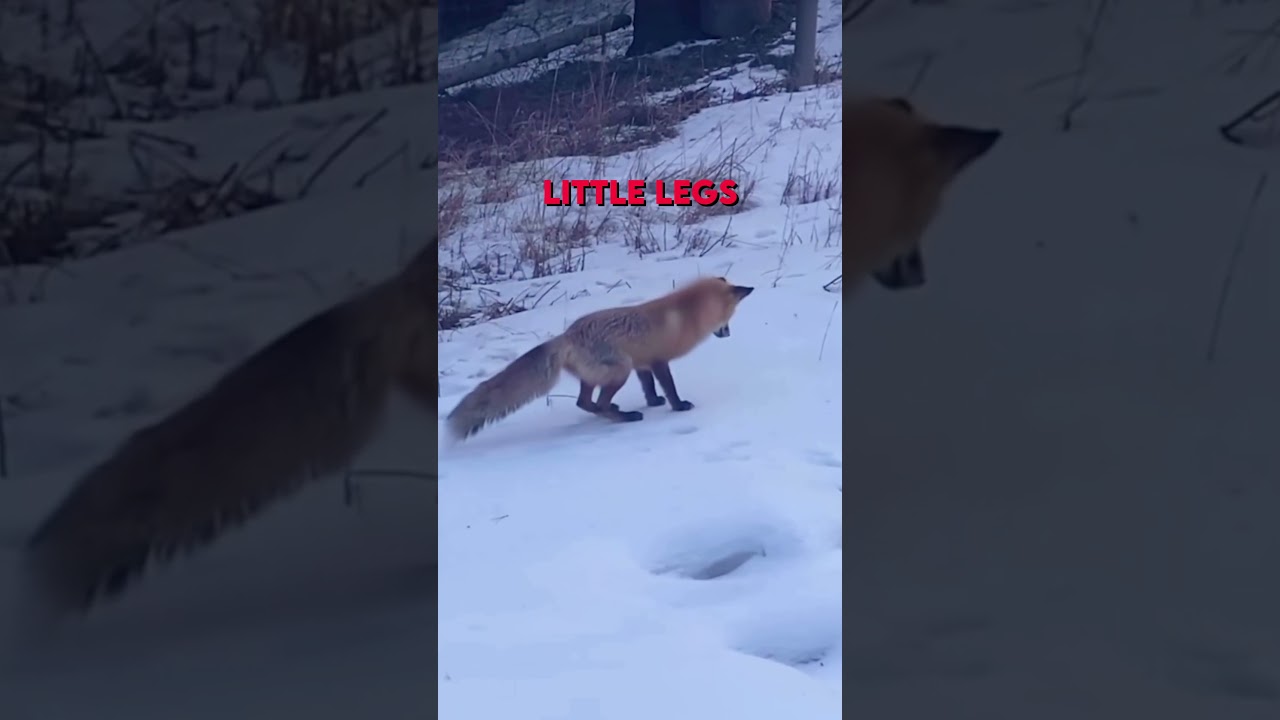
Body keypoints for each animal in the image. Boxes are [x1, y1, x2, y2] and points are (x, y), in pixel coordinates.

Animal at [445, 276, 754, 441]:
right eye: (729, 318)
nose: (727, 334)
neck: (686, 315)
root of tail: (567, 335)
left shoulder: (642, 363)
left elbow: (649, 388)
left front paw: (654, 402)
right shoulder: (657, 360)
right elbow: (669, 387)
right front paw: (678, 407)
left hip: (601, 375)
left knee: (585, 402)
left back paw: (612, 412)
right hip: (620, 370)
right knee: (596, 403)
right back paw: (625, 417)